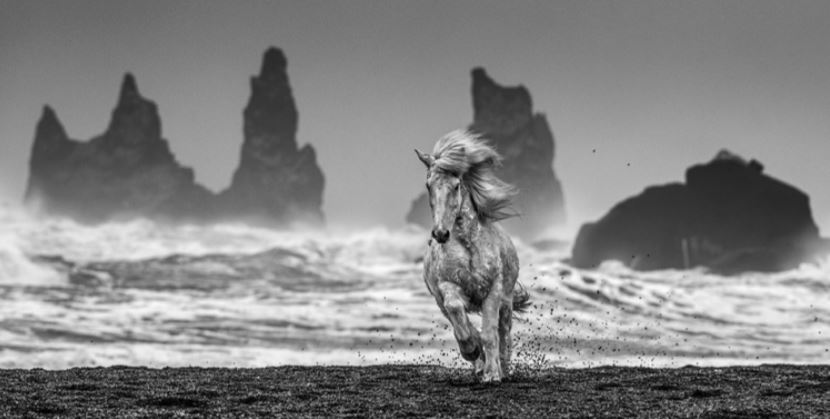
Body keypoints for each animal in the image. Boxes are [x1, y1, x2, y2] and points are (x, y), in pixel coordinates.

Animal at [415, 130, 530, 383]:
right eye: (428, 185)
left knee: (504, 332)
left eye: (457, 185)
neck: (468, 245)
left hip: (506, 301)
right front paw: (473, 350)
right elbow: (460, 318)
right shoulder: (448, 287)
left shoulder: (493, 290)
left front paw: (493, 374)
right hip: (440, 303)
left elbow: (490, 334)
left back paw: (502, 367)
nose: (441, 233)